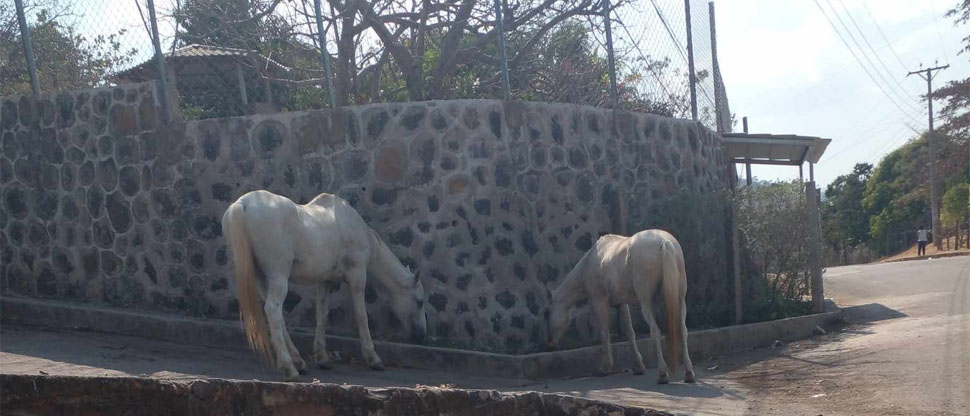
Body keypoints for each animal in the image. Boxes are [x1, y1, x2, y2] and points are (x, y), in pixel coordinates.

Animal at [222, 190, 428, 381]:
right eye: (419, 301)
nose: (421, 335)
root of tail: (243, 203)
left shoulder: (324, 282)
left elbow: (322, 315)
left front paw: (323, 358)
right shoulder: (357, 275)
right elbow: (361, 317)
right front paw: (373, 358)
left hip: (263, 279)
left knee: (277, 316)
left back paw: (299, 362)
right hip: (278, 276)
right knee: (273, 309)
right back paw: (289, 368)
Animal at [545, 229, 695, 384]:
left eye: (546, 313)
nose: (549, 342)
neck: (590, 262)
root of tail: (663, 242)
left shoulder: (600, 303)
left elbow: (604, 334)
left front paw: (605, 368)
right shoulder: (622, 305)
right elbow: (630, 333)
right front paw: (638, 366)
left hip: (646, 303)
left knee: (655, 332)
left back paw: (662, 374)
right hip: (680, 300)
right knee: (682, 330)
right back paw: (689, 373)